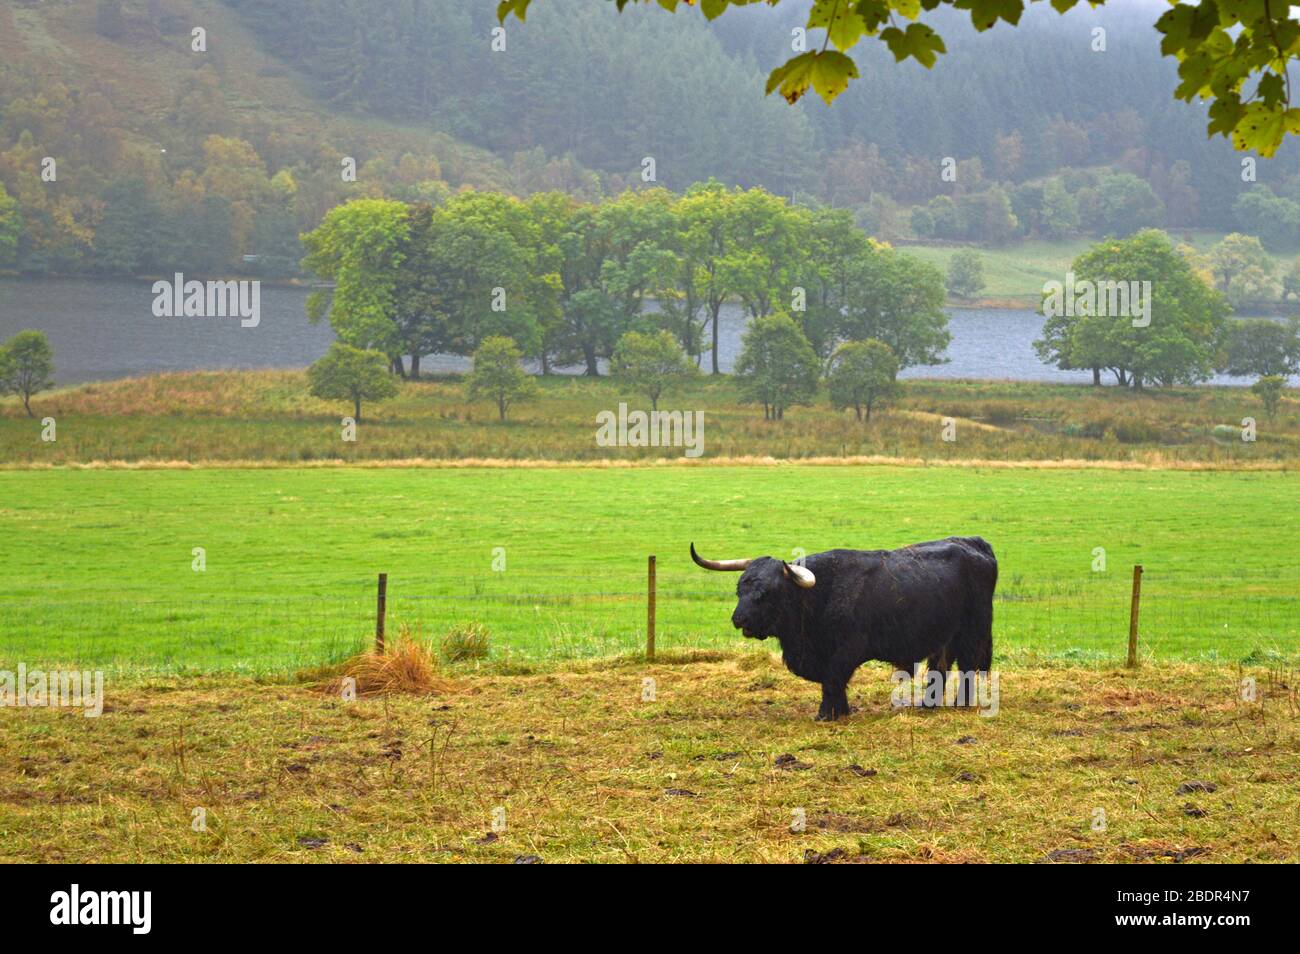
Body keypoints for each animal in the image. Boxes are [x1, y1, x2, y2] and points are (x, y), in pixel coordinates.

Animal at [691, 540, 993, 722]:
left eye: (767, 592)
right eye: (740, 588)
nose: (738, 618)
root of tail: (973, 542)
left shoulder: (848, 650)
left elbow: (832, 680)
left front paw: (826, 715)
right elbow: (834, 683)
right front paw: (842, 711)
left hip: (973, 632)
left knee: (966, 667)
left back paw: (961, 704)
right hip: (945, 638)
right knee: (939, 668)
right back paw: (928, 705)